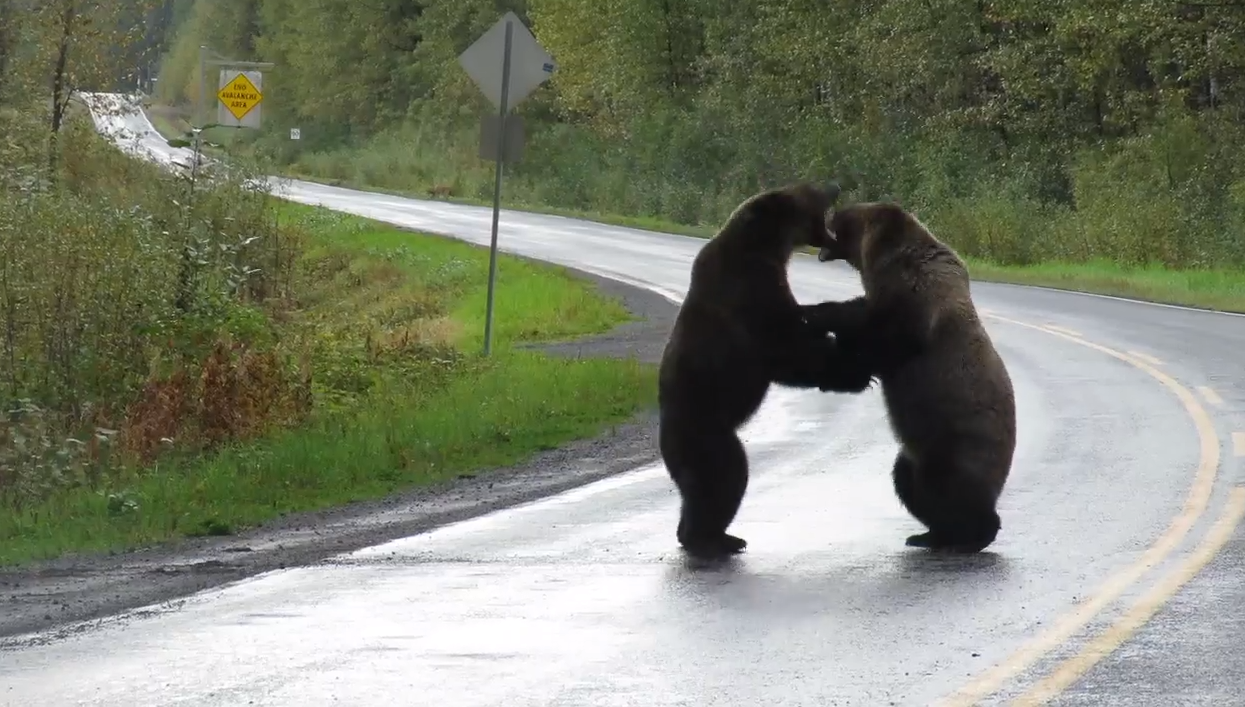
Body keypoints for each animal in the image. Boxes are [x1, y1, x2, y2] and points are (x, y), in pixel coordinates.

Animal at [657, 185, 881, 560]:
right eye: (811, 190)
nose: (835, 185)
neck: (766, 247)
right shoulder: (750, 292)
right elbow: (786, 349)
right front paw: (855, 371)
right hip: (706, 431)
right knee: (724, 477)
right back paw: (710, 539)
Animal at [801, 199, 1015, 552]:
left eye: (842, 214)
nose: (829, 211)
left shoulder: (915, 303)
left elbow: (883, 337)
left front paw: (818, 320)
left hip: (958, 442)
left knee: (951, 487)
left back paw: (972, 535)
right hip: (917, 452)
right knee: (908, 482)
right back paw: (930, 535)